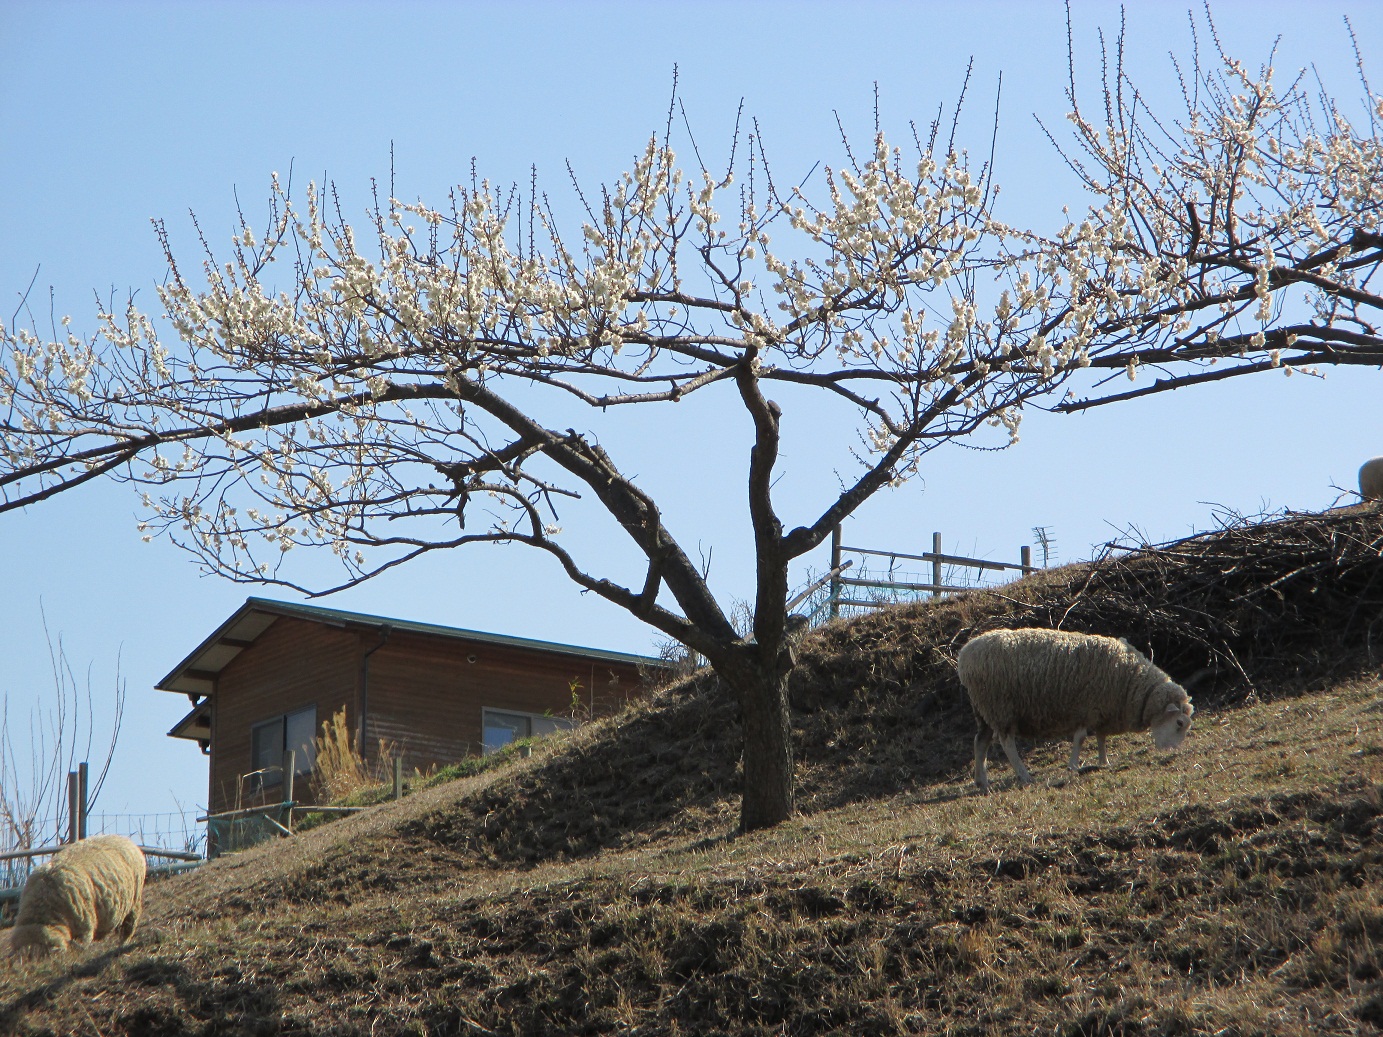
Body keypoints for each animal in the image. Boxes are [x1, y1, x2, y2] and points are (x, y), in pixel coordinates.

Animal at [6, 835, 145, 962]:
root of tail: (125, 839)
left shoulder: (84, 928)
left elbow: (81, 946)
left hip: (134, 903)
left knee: (127, 928)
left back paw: (122, 946)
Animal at [957, 624, 1194, 796]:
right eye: (1179, 723)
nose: (1172, 752)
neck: (1132, 683)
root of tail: (964, 655)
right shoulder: (1088, 708)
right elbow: (1080, 738)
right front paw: (1073, 766)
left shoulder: (1101, 710)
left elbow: (1101, 737)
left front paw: (1103, 762)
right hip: (1000, 707)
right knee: (1007, 743)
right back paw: (1024, 776)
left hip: (984, 711)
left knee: (980, 741)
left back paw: (982, 782)